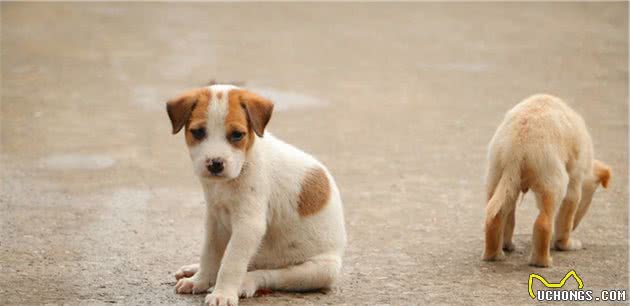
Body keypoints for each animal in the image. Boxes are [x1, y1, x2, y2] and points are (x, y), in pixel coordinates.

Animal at [165, 84, 348, 306]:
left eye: (237, 135)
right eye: (198, 132)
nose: (215, 164)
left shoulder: (248, 226)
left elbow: (231, 263)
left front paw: (222, 294)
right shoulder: (215, 220)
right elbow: (210, 254)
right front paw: (199, 280)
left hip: (318, 271)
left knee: (265, 274)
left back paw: (245, 283)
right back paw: (193, 270)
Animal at [484, 94, 612, 266]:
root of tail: (517, 147)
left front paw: (507, 245)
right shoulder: (574, 183)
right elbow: (566, 219)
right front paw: (566, 244)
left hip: (498, 174)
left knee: (497, 215)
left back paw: (496, 254)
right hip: (553, 181)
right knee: (544, 222)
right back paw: (542, 261)